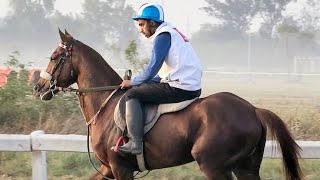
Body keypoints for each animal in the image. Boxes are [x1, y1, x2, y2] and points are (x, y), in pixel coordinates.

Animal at [33, 29, 304, 180]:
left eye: (54, 57)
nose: (39, 87)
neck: (105, 104)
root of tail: (254, 110)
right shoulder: (108, 168)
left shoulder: (120, 168)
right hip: (246, 167)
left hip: (213, 165)